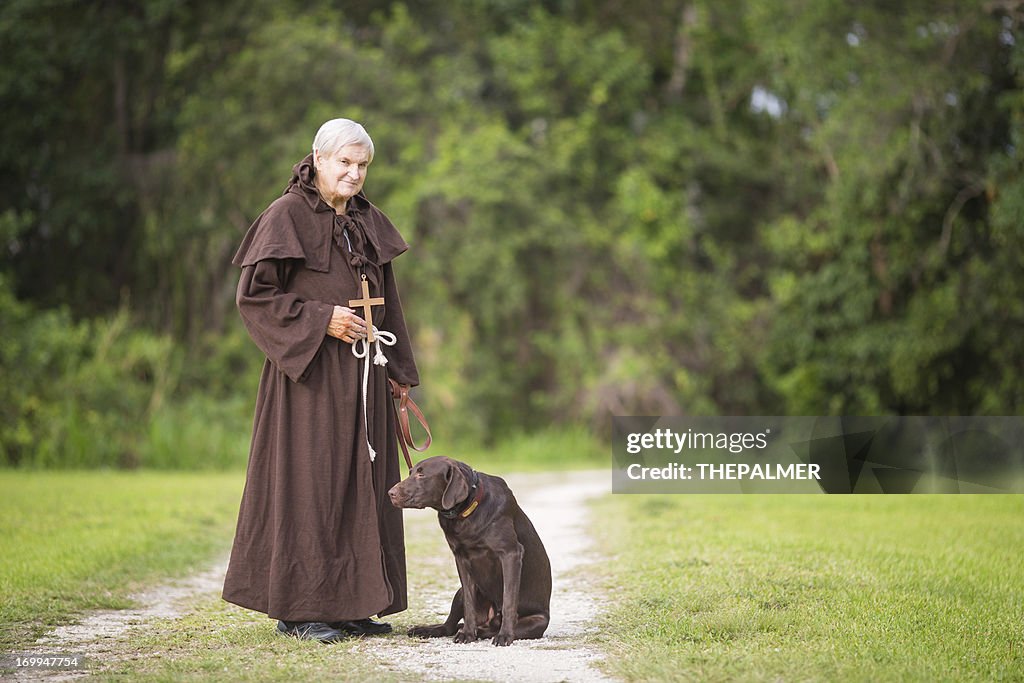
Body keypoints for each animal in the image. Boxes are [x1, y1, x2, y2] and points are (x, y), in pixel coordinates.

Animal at [385, 456, 552, 651]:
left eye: (421, 474)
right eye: (411, 472)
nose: (390, 493)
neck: (468, 510)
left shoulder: (510, 554)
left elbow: (509, 600)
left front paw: (504, 635)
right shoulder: (461, 560)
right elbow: (469, 604)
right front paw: (467, 633)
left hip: (537, 621)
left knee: (489, 628)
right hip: (459, 593)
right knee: (449, 625)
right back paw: (429, 630)